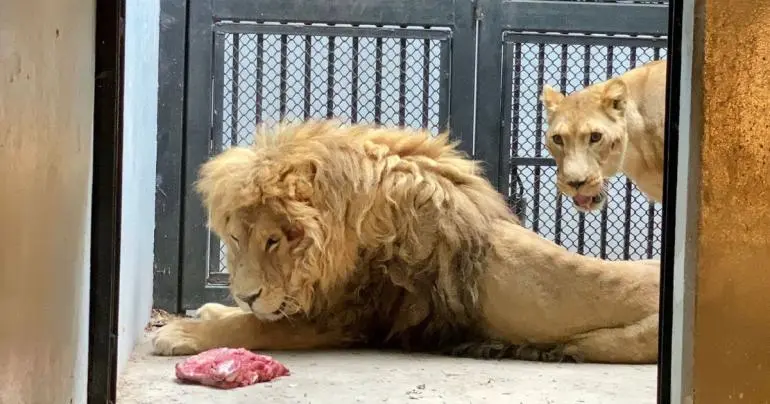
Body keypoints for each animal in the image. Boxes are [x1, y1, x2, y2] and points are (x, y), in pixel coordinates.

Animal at [153, 120, 656, 362]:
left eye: (275, 241)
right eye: (237, 239)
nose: (247, 293)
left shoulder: (346, 318)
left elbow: (253, 326)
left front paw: (183, 331)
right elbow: (249, 316)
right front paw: (212, 309)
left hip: (603, 341)